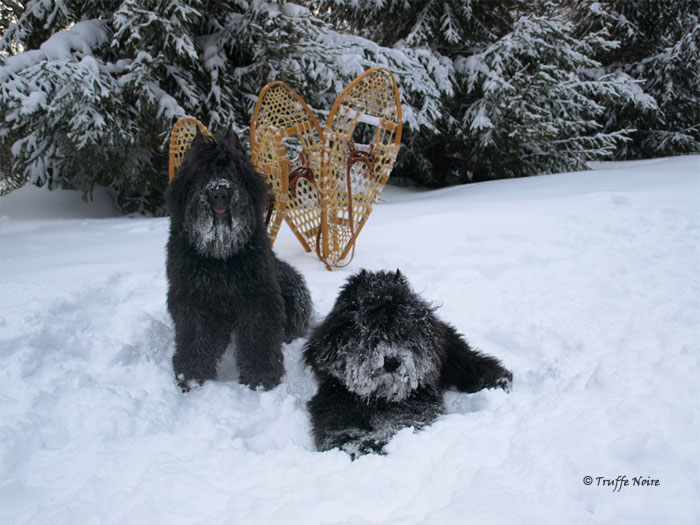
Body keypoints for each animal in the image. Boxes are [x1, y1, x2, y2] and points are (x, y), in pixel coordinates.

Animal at [165, 127, 310, 388]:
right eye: (201, 171)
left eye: (233, 170)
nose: (219, 192)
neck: (220, 258)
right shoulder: (192, 296)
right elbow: (195, 335)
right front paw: (191, 374)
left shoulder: (258, 295)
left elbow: (258, 334)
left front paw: (261, 376)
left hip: (292, 288)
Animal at [304, 268, 512, 456]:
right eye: (368, 329)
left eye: (404, 328)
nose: (392, 361)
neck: (379, 394)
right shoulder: (336, 395)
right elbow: (337, 422)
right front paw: (349, 441)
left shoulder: (416, 398)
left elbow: (400, 420)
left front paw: (375, 442)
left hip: (452, 352)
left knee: (471, 363)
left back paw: (499, 380)